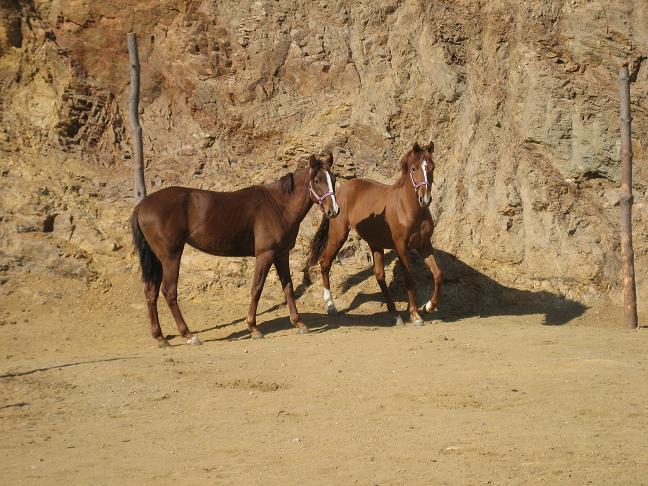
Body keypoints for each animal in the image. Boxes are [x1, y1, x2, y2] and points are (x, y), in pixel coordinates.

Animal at [132, 152, 340, 346]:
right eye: (317, 180)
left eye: (334, 179)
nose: (334, 210)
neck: (278, 206)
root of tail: (142, 206)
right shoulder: (265, 255)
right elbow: (257, 288)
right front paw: (253, 327)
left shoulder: (282, 254)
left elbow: (287, 287)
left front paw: (299, 323)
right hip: (171, 256)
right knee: (169, 292)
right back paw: (189, 335)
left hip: (158, 259)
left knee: (151, 291)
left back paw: (160, 337)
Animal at [306, 142, 442, 324]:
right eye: (414, 169)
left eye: (432, 167)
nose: (425, 199)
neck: (409, 210)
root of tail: (338, 192)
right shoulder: (401, 248)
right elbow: (409, 279)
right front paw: (415, 314)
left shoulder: (424, 245)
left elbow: (438, 274)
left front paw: (429, 306)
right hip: (338, 237)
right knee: (324, 263)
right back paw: (331, 307)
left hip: (375, 243)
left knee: (379, 275)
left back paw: (395, 313)